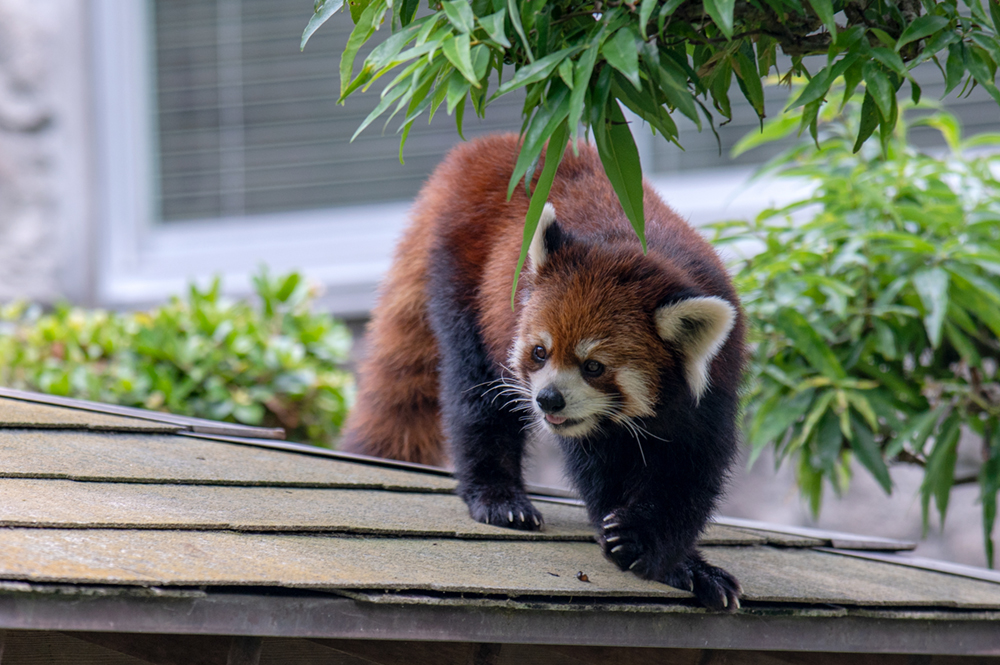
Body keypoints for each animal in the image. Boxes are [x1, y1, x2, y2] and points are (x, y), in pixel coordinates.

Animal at [342, 132, 744, 608]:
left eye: (594, 366)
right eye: (539, 352)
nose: (548, 399)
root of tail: (488, 146)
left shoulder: (713, 389)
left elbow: (687, 472)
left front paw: (672, 558)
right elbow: (600, 470)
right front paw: (638, 543)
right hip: (465, 282)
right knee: (476, 397)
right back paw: (499, 497)